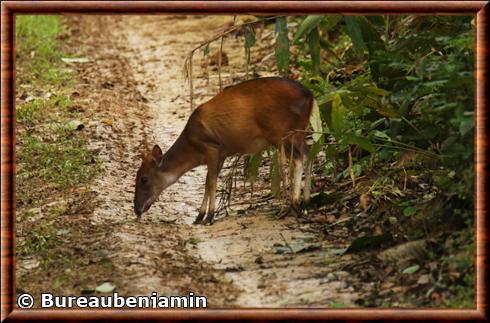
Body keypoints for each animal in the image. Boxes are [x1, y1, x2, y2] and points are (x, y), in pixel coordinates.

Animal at [134, 78, 316, 225]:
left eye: (144, 179)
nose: (136, 208)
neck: (193, 148)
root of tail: (309, 95)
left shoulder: (212, 148)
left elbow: (211, 181)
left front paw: (208, 217)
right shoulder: (221, 154)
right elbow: (208, 181)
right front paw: (199, 216)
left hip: (281, 133)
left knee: (297, 159)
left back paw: (292, 204)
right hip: (300, 131)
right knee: (309, 154)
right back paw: (306, 203)